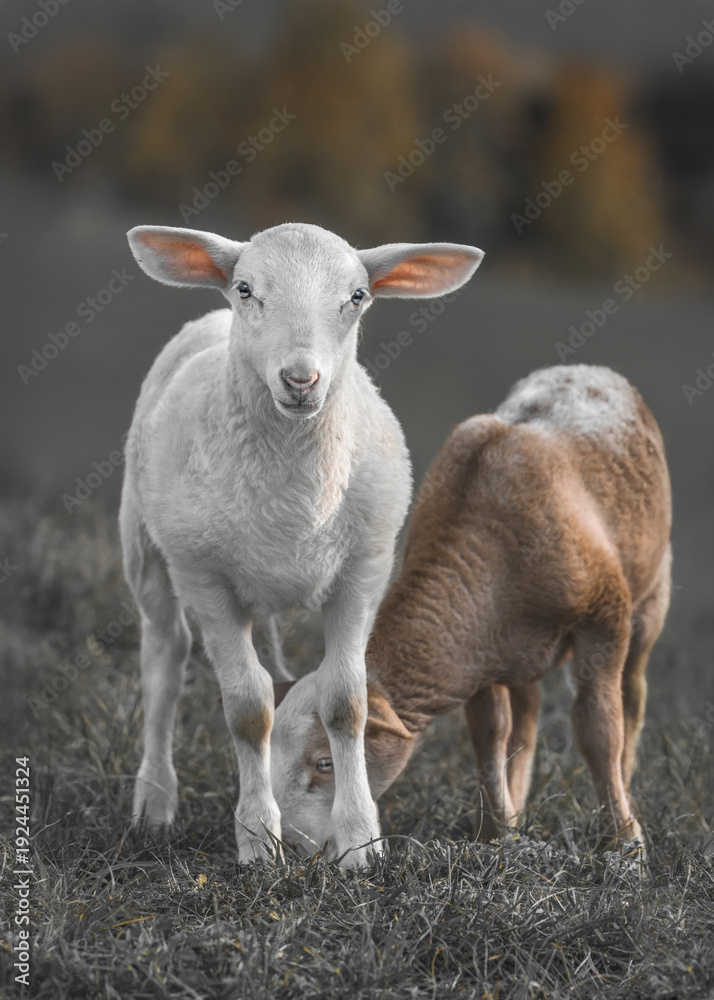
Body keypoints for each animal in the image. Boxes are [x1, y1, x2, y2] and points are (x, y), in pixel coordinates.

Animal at [120, 221, 484, 867]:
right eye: (246, 288)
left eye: (357, 297)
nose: (300, 379)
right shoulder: (206, 578)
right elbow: (248, 708)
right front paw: (258, 841)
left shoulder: (365, 568)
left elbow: (346, 702)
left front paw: (361, 841)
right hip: (148, 547)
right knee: (164, 659)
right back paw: (155, 801)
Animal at [270, 365, 672, 856]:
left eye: (326, 763)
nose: (286, 849)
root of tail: (585, 369)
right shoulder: (477, 650)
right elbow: (489, 734)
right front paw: (495, 833)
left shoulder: (603, 618)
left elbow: (598, 729)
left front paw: (623, 842)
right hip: (520, 654)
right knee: (526, 715)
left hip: (650, 599)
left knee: (631, 697)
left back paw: (625, 784)